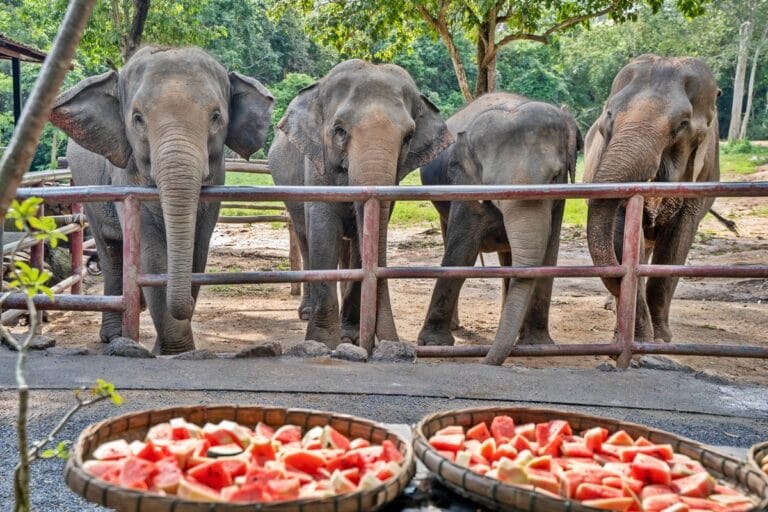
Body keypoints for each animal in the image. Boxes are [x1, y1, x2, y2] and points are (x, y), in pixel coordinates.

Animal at [49, 46, 274, 355]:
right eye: (138, 118)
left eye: (216, 117)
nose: (188, 303)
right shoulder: (127, 175)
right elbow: (153, 255)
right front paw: (175, 352)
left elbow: (197, 250)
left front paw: (176, 348)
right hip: (88, 188)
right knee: (111, 252)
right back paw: (113, 335)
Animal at [268, 59, 452, 349]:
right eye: (339, 130)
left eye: (408, 136)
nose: (398, 345)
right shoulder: (317, 164)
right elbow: (323, 228)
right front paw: (322, 342)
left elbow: (361, 237)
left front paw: (349, 337)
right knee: (304, 236)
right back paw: (306, 311)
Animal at [417, 92, 582, 365]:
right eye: (492, 183)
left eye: (555, 176)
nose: (484, 361)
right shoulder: (465, 184)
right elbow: (461, 252)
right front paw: (432, 343)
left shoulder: (560, 202)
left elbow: (549, 255)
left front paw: (537, 344)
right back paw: (456, 327)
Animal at [584, 54, 720, 343]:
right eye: (609, 114)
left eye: (682, 124)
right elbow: (621, 236)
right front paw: (639, 338)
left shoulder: (702, 174)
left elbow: (676, 245)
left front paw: (660, 339)